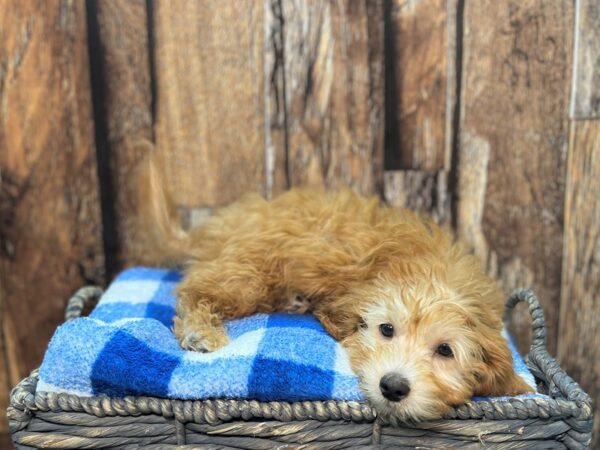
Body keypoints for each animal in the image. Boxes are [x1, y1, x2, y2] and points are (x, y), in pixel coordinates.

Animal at [138, 156, 532, 422]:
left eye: (445, 350)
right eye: (386, 329)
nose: (392, 387)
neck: (433, 270)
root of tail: (214, 226)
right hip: (248, 274)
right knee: (194, 288)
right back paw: (200, 331)